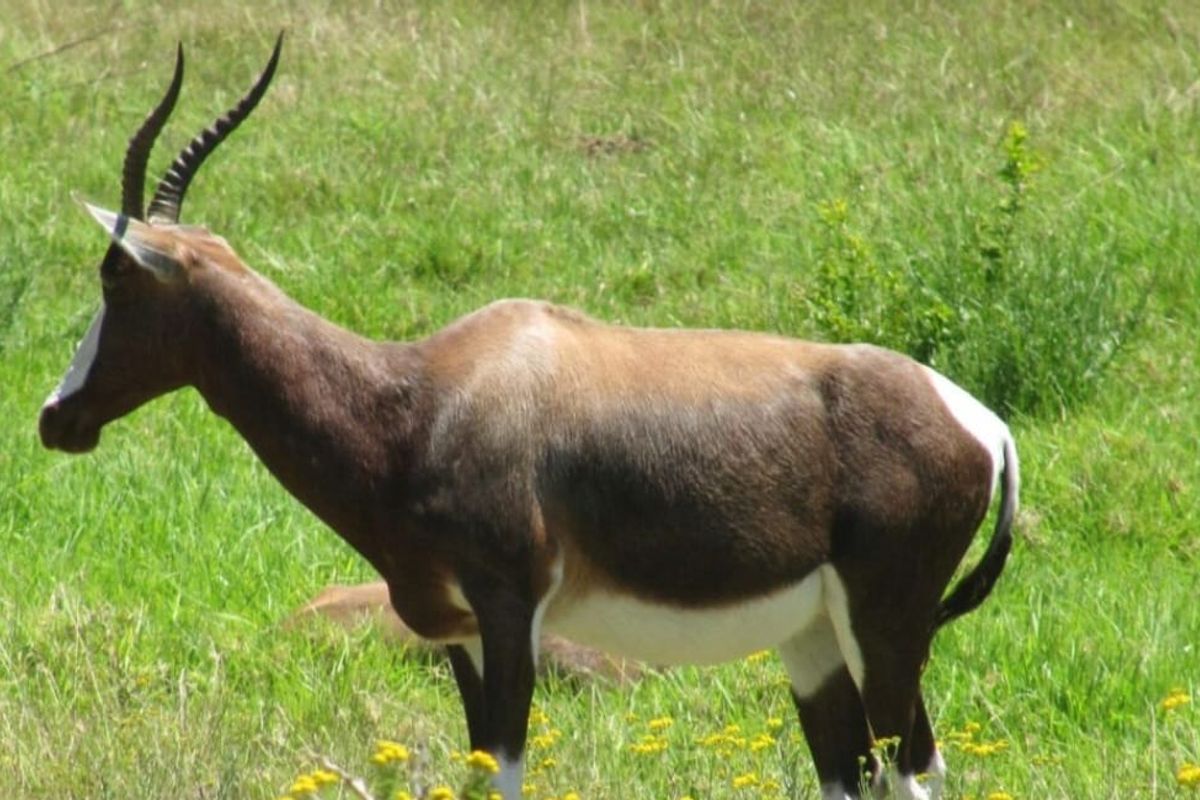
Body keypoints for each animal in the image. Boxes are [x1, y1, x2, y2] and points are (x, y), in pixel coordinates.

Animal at [39, 36, 1019, 800]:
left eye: (114, 273)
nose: (56, 418)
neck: (421, 398)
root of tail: (984, 424)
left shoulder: (512, 614)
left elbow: (507, 772)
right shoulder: (463, 636)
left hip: (885, 629)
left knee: (916, 769)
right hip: (813, 640)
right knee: (855, 770)